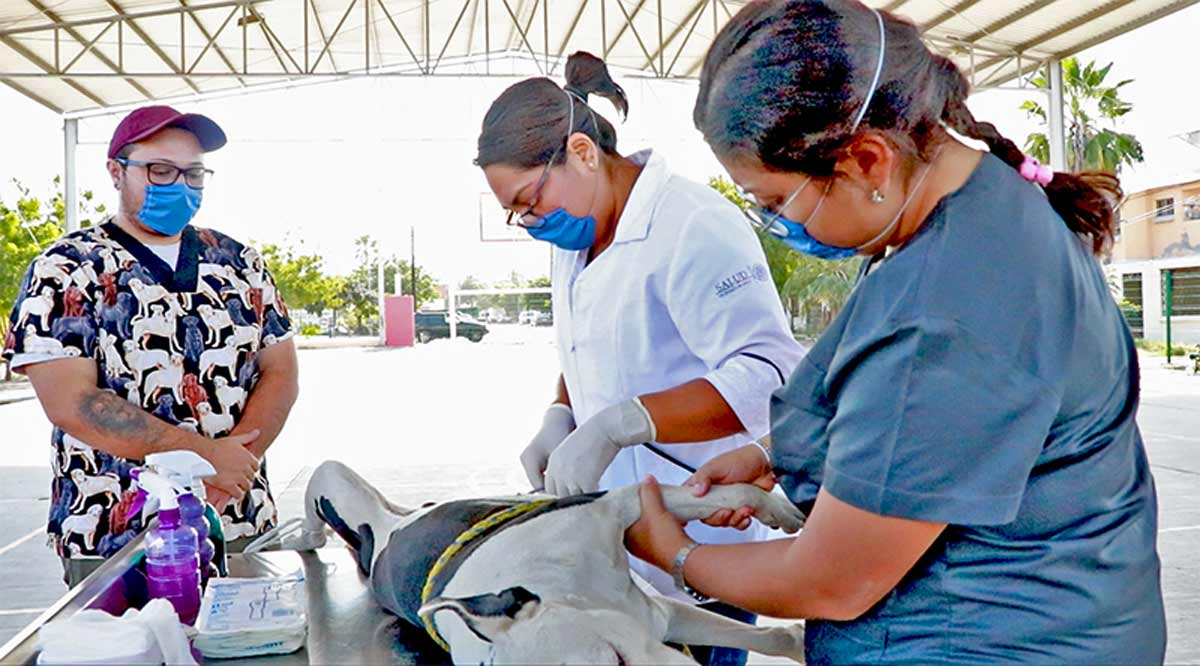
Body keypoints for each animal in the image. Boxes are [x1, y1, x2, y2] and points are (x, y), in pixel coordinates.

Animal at [249, 460, 806, 662]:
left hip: (338, 484)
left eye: (615, 658)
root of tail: (388, 533)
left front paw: (774, 508)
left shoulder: (611, 507)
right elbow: (775, 636)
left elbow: (711, 495)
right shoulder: (657, 615)